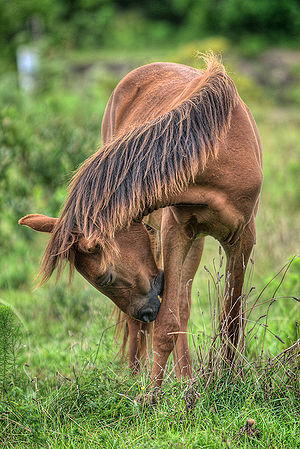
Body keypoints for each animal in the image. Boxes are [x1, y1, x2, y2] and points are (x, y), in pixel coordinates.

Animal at [19, 53, 262, 388]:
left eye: (105, 278)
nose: (146, 312)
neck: (217, 151)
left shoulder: (242, 238)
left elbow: (231, 317)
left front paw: (225, 379)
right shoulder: (175, 233)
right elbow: (168, 323)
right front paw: (151, 395)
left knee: (182, 307)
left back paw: (185, 380)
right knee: (159, 318)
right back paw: (142, 376)